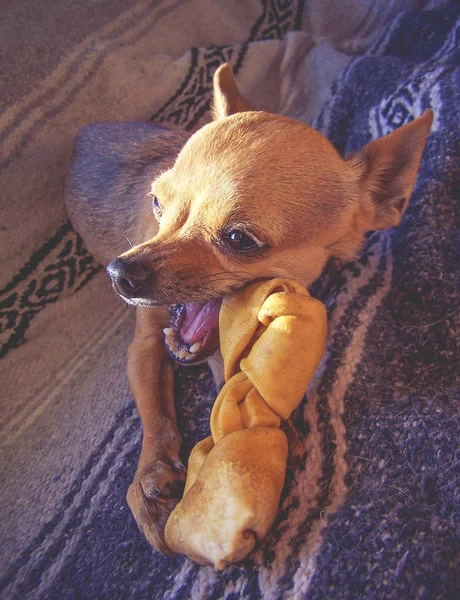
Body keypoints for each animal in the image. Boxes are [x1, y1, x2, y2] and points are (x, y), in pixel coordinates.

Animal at [65, 64, 434, 552]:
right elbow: (154, 407)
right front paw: (151, 473)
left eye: (239, 239)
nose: (119, 272)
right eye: (157, 204)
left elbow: (227, 368)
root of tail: (82, 134)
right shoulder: (144, 346)